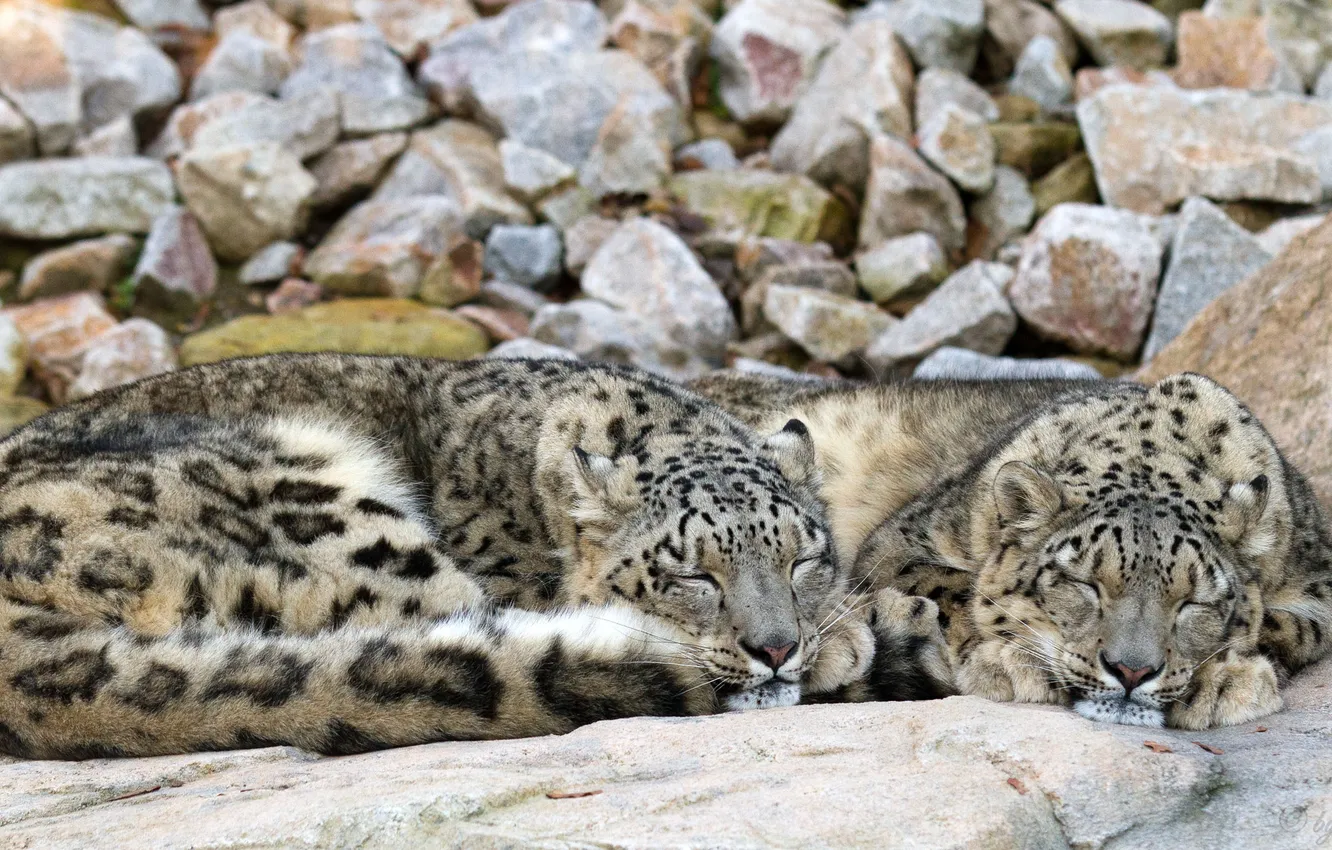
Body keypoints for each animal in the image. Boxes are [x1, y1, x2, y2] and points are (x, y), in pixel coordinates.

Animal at [692, 370, 1332, 729]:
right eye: (1084, 583)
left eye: (1194, 602)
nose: (1132, 670)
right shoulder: (902, 540)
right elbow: (958, 590)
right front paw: (1012, 658)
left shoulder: (1317, 586)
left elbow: (1287, 628)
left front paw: (1211, 679)